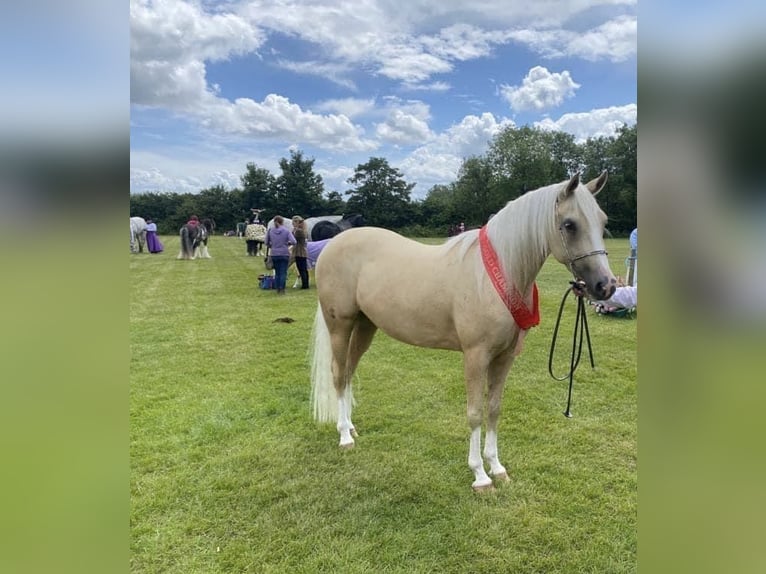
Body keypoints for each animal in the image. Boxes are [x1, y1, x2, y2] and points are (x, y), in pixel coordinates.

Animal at [312, 171, 616, 490]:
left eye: (603, 221)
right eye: (570, 224)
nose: (606, 286)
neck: (495, 277)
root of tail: (334, 242)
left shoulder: (505, 357)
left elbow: (493, 408)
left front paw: (497, 467)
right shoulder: (475, 356)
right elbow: (475, 413)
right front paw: (480, 475)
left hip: (365, 326)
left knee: (348, 373)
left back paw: (351, 428)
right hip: (340, 325)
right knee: (338, 374)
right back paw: (344, 437)